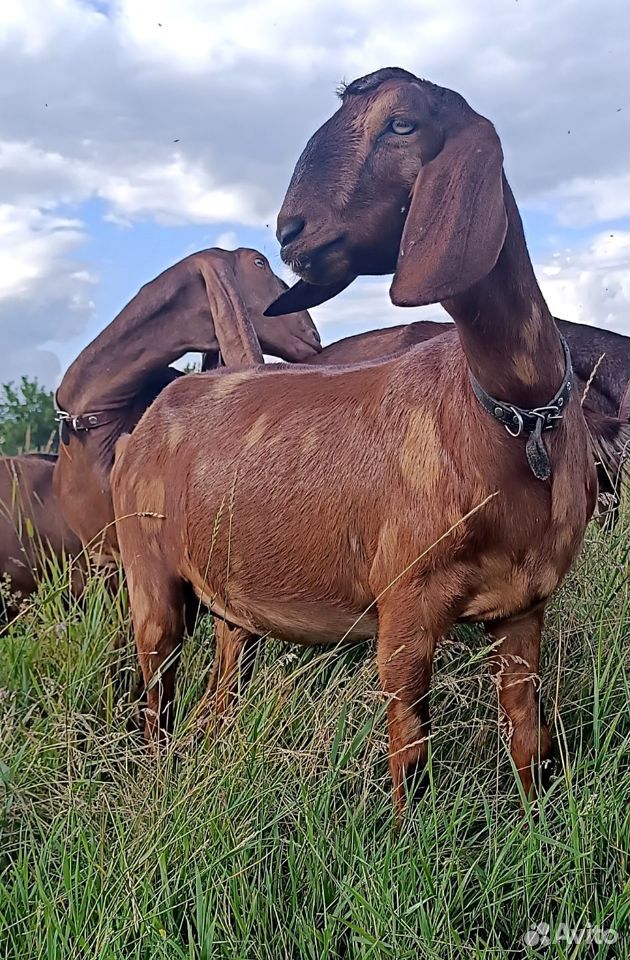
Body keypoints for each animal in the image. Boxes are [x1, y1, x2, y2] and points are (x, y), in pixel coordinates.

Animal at [111, 71, 600, 812]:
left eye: (401, 123)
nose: (289, 230)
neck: (511, 414)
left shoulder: (524, 607)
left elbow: (527, 739)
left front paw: (536, 823)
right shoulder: (405, 607)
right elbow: (412, 759)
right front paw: (407, 836)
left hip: (231, 606)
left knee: (217, 698)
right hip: (150, 576)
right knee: (157, 697)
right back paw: (156, 783)